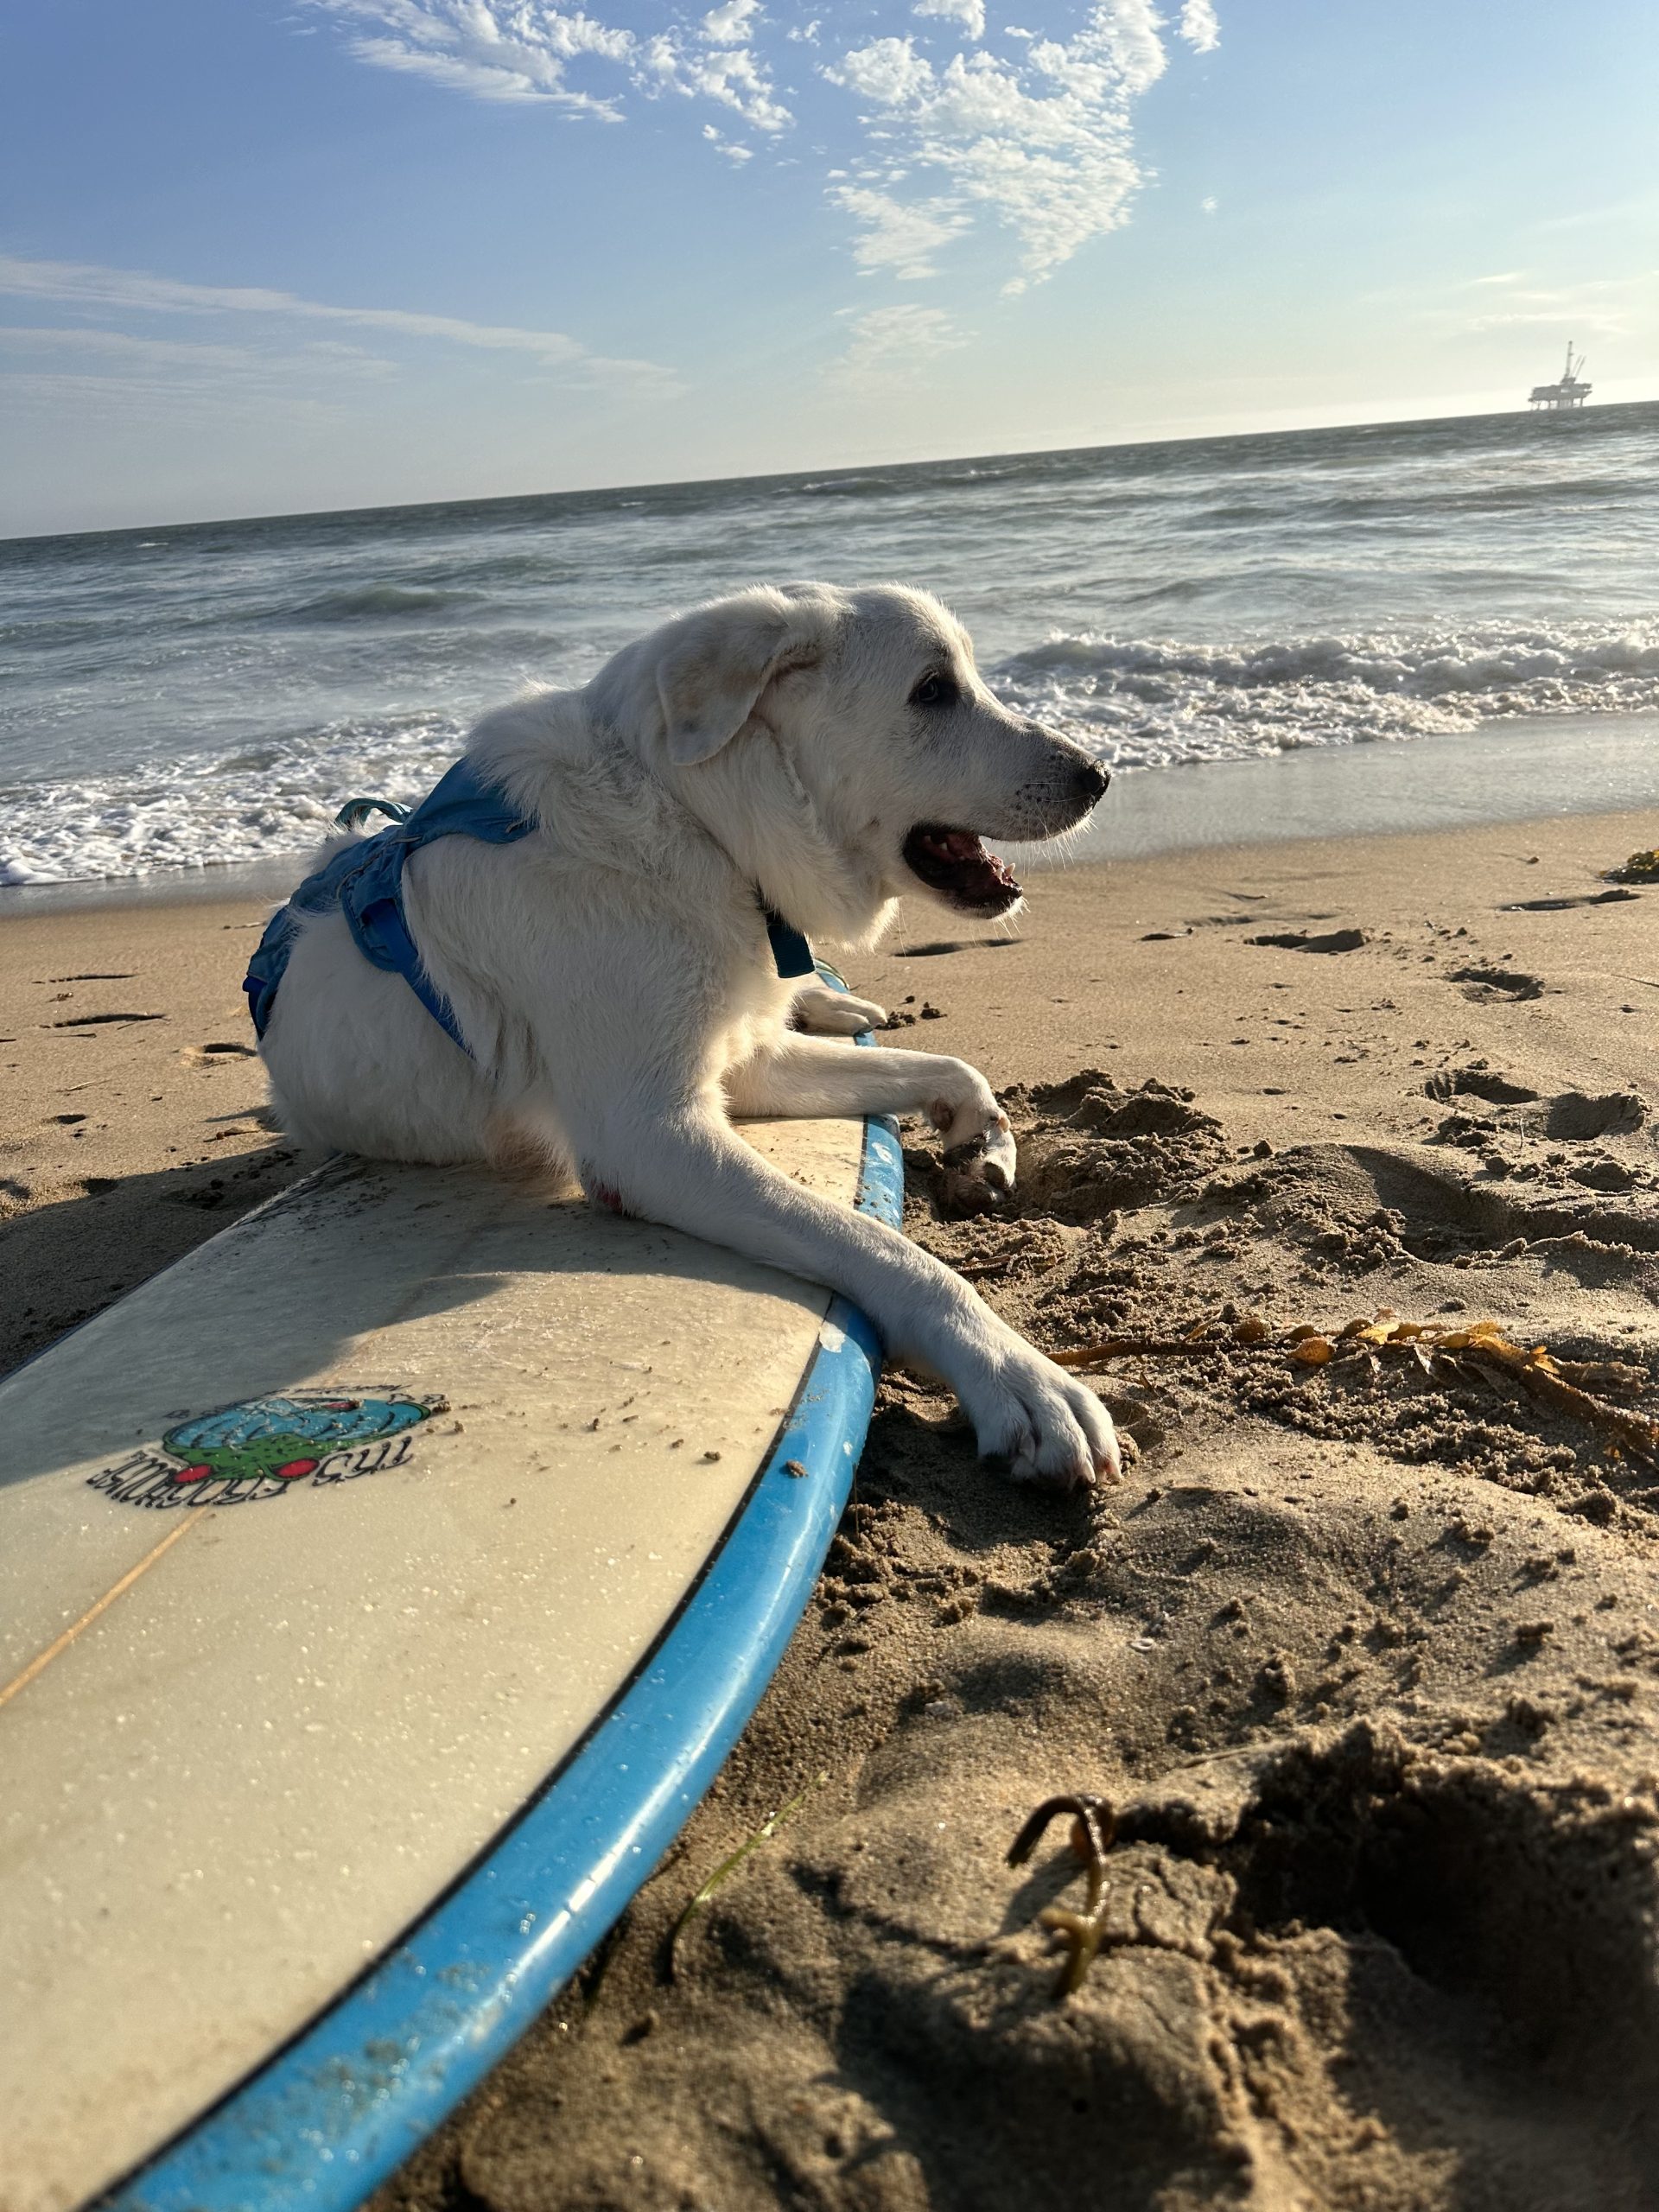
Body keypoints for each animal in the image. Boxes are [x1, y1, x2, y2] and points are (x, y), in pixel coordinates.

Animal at [259, 579, 1123, 1495]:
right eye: (932, 690)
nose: (1101, 777)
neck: (689, 823)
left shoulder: (748, 1067)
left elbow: (951, 1065)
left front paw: (983, 1140)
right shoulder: (653, 1137)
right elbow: (880, 1247)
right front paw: (1017, 1377)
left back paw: (836, 1003)